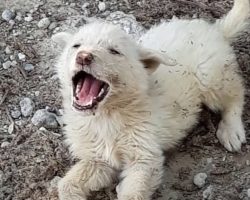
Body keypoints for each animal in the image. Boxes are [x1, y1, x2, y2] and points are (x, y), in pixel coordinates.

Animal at [52, 0, 248, 199]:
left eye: (114, 51)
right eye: (76, 46)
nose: (84, 57)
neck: (105, 116)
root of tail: (215, 30)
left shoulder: (145, 158)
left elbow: (133, 193)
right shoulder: (97, 159)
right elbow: (66, 184)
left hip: (210, 77)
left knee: (237, 93)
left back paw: (232, 130)